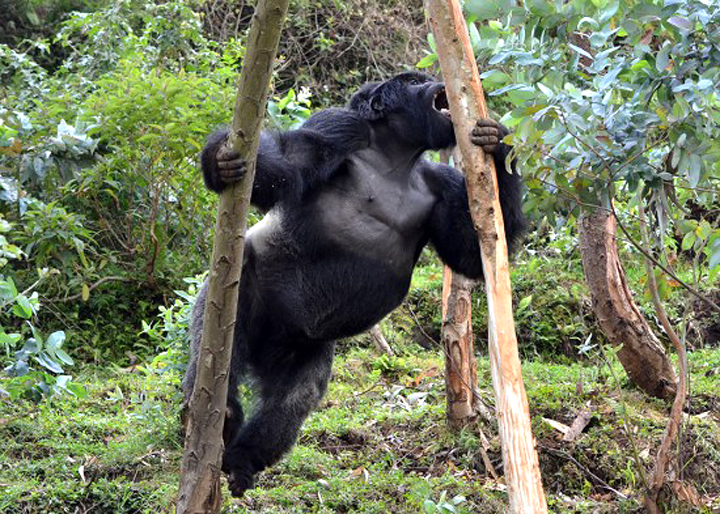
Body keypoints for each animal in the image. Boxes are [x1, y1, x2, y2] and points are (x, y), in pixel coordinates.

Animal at [183, 70, 524, 494]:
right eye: (413, 81)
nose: (434, 80)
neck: (393, 155)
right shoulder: (337, 128)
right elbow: (284, 169)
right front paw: (218, 160)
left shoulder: (442, 181)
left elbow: (473, 254)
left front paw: (498, 146)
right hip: (237, 301)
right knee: (220, 337)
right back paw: (220, 411)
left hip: (299, 345)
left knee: (296, 397)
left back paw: (245, 457)